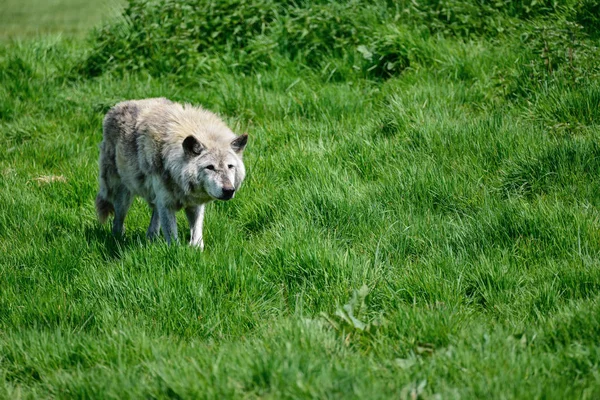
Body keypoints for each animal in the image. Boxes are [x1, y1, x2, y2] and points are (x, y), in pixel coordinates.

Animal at [95, 98, 247, 248]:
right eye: (210, 167)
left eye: (230, 166)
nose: (228, 190)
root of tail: (115, 107)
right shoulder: (166, 204)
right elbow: (173, 240)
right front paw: (177, 253)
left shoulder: (194, 204)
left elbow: (197, 236)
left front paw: (196, 250)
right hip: (123, 197)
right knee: (117, 223)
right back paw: (118, 241)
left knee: (152, 223)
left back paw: (151, 239)